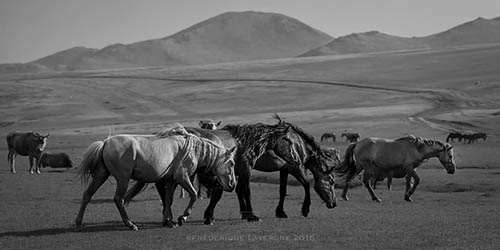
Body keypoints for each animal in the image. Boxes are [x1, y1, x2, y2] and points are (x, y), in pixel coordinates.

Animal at [74, 128, 236, 231]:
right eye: (232, 163)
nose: (233, 184)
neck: (193, 149)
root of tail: (106, 143)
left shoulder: (171, 180)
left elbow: (168, 200)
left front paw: (168, 221)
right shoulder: (182, 177)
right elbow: (193, 194)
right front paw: (182, 217)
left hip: (101, 175)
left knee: (87, 194)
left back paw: (79, 223)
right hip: (123, 178)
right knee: (118, 199)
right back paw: (130, 224)